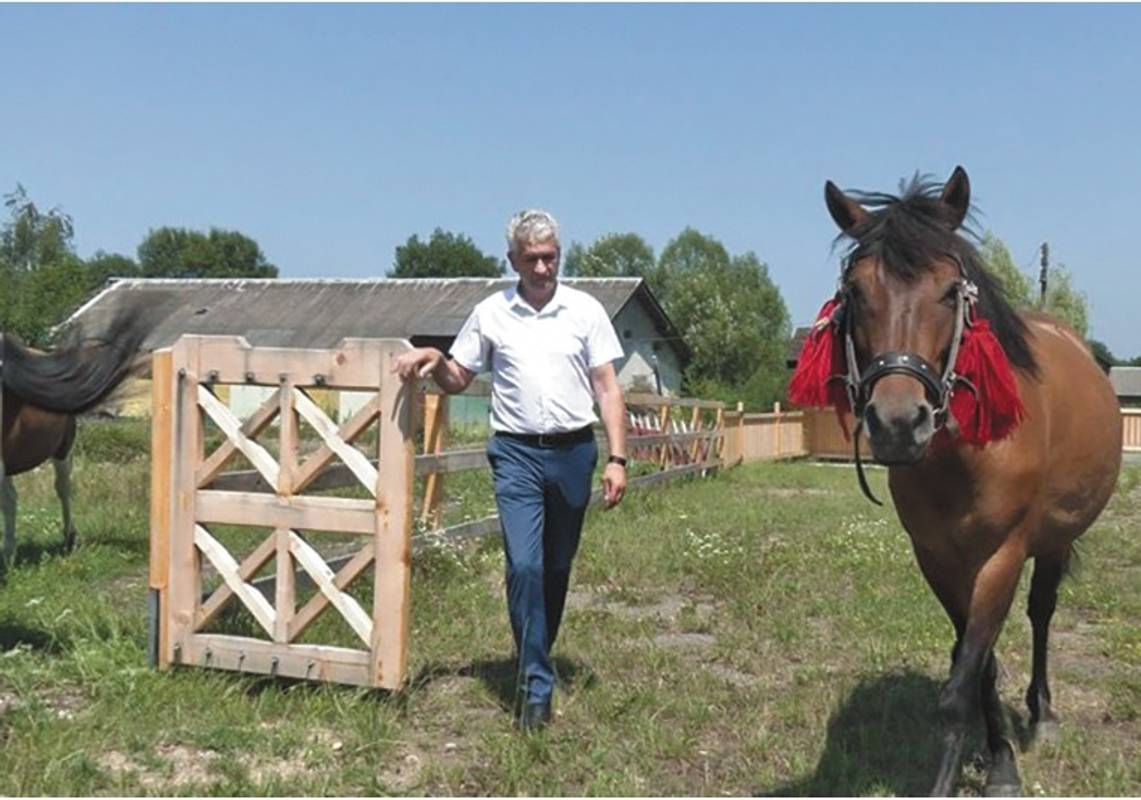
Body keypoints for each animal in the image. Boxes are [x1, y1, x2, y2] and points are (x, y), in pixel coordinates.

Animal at [816, 166, 1118, 794]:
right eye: (855, 292)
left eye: (951, 290)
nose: (898, 423)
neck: (964, 458)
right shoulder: (937, 559)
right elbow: (978, 665)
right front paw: (997, 756)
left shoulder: (1002, 556)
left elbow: (967, 677)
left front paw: (991, 768)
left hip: (1057, 539)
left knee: (1042, 612)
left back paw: (1043, 713)